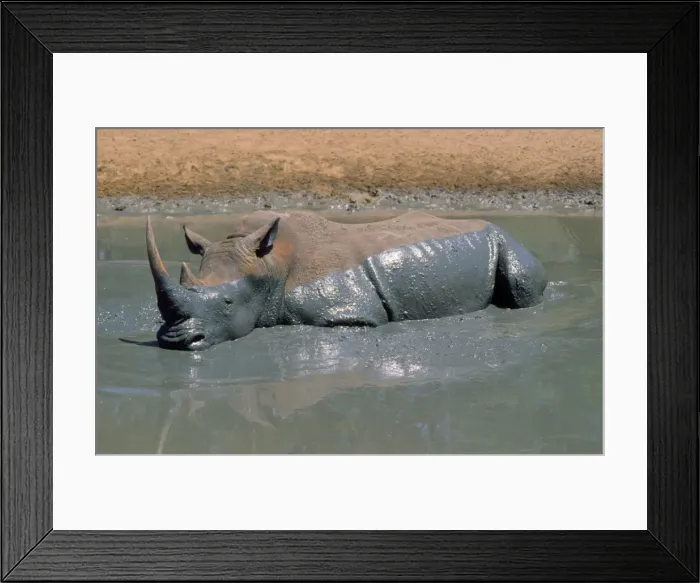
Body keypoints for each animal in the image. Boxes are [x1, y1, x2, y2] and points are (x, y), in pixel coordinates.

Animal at [146, 210, 547, 351]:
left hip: (505, 240)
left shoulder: (349, 311)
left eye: (228, 303)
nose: (174, 342)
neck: (270, 266)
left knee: (521, 288)